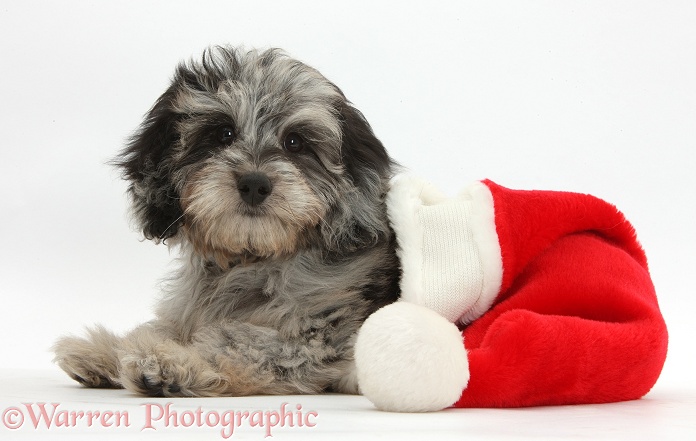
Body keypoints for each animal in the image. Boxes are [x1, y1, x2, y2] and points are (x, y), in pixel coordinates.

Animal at [53, 46, 402, 398]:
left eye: (295, 142)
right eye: (223, 133)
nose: (254, 184)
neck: (253, 261)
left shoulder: (318, 334)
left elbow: (238, 341)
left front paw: (169, 362)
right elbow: (165, 326)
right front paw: (106, 350)